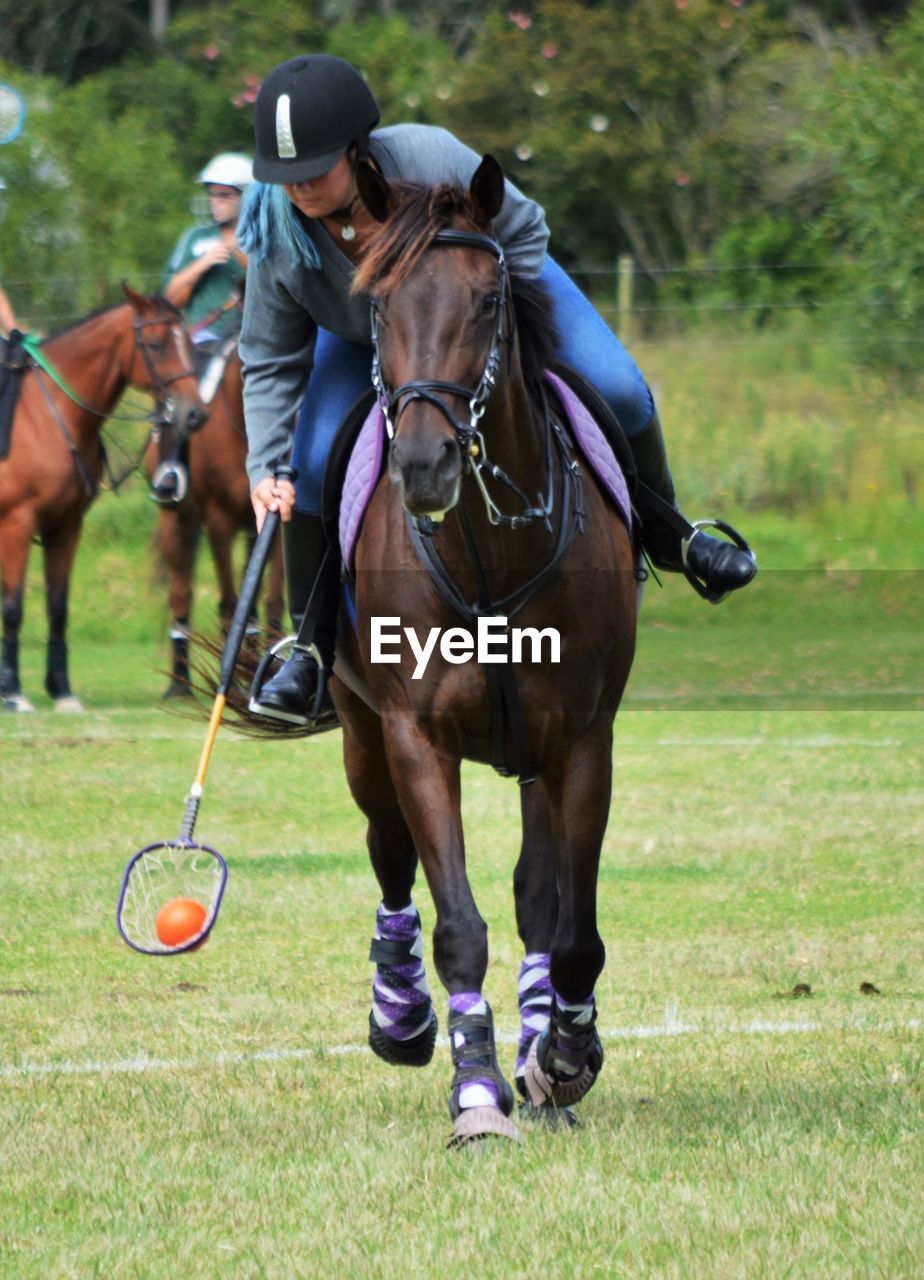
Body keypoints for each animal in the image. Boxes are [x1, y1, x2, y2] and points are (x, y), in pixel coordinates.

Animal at [0, 284, 204, 716]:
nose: (195, 414)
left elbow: (58, 608)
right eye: (156, 344)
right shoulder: (15, 525)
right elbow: (13, 607)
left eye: (188, 343)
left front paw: (61, 689)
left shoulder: (65, 527)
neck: (48, 415)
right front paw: (12, 692)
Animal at [142, 345, 280, 696]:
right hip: (176, 522)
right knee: (181, 593)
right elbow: (231, 602)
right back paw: (179, 682)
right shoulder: (220, 523)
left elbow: (267, 600)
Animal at [327, 160, 637, 1152]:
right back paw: (400, 1016)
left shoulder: (580, 738)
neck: (488, 548)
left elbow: (571, 926)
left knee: (540, 893)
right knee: (388, 853)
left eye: (489, 298)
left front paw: (563, 1057)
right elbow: (456, 921)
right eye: (378, 303)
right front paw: (476, 1091)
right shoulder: (415, 738)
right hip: (362, 735)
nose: (425, 465)